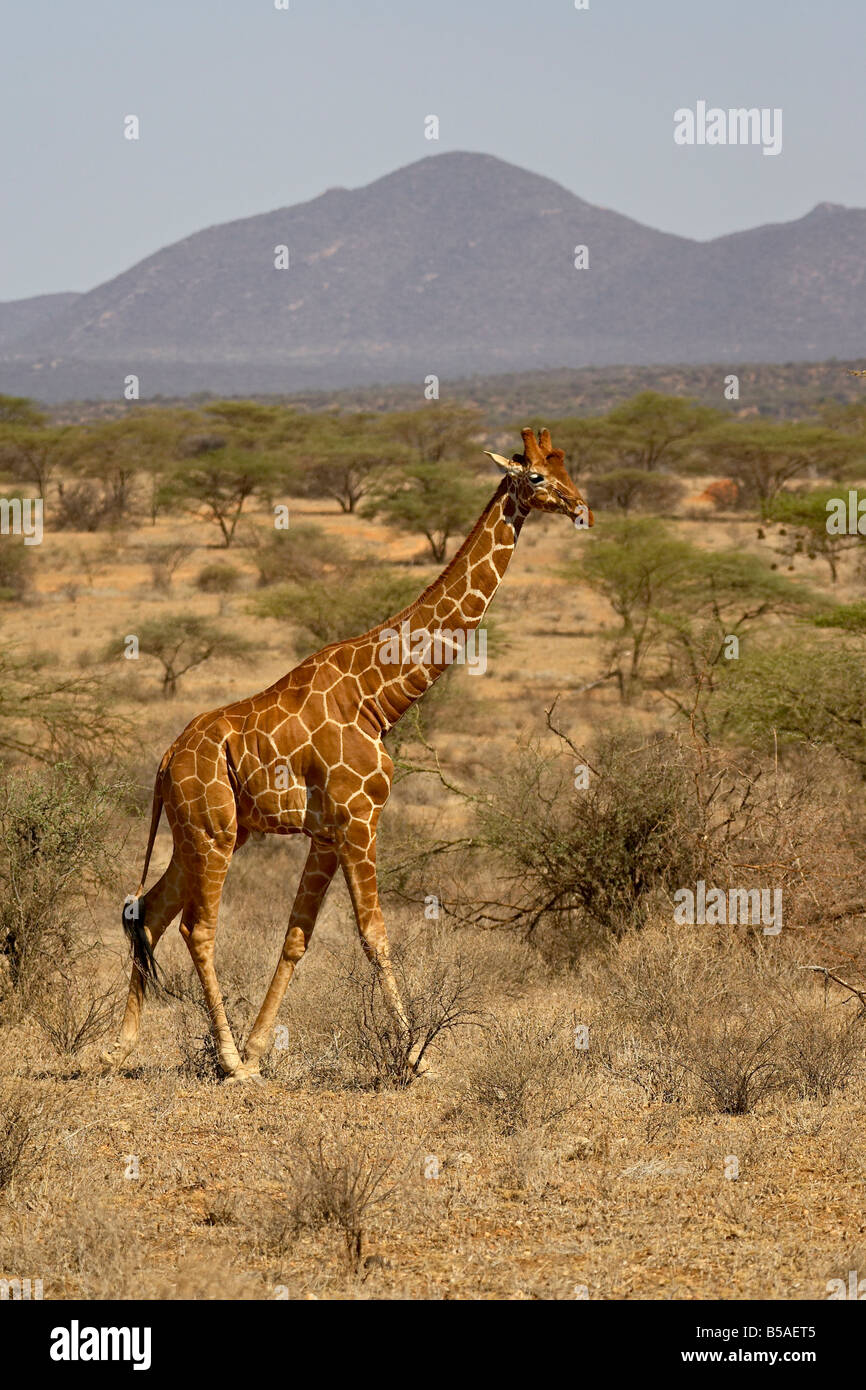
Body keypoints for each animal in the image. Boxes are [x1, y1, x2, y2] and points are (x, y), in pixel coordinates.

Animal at [100, 428, 589, 1078]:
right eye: (535, 475)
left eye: (566, 466)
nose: (580, 506)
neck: (379, 696)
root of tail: (163, 762)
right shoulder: (359, 819)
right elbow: (373, 932)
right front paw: (416, 1058)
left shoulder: (328, 833)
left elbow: (297, 936)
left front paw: (261, 1048)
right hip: (214, 833)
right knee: (196, 927)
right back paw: (225, 1060)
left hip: (199, 832)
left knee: (149, 914)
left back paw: (122, 1047)